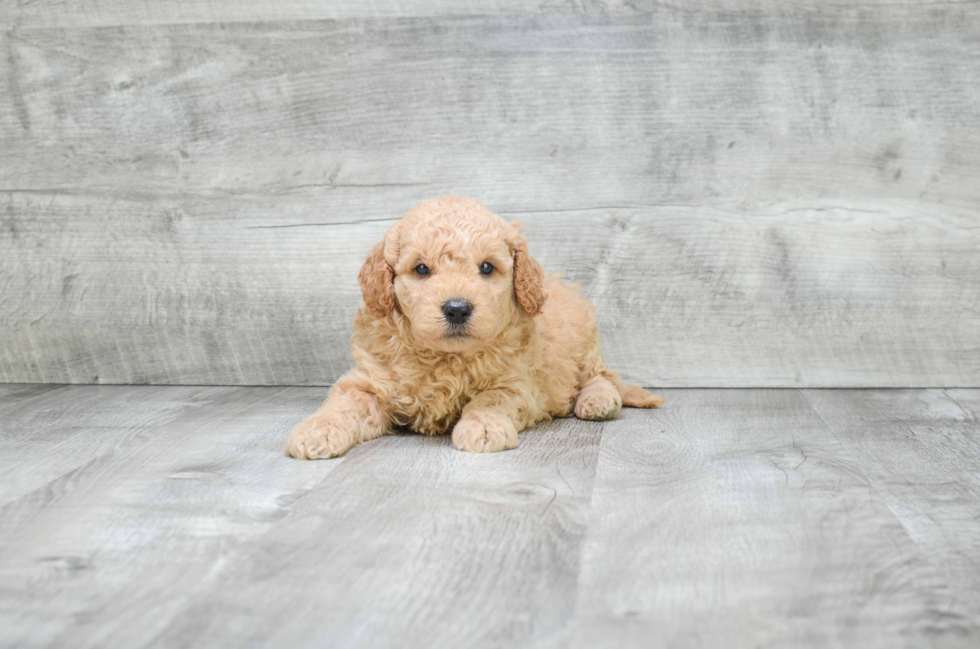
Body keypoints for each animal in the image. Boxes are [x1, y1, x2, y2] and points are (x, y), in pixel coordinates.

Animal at [288, 196, 664, 456]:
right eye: (421, 269)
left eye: (486, 267)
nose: (457, 309)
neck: (445, 357)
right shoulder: (369, 382)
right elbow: (345, 403)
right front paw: (316, 432)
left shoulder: (515, 384)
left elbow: (489, 401)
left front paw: (482, 429)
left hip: (583, 343)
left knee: (599, 377)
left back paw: (598, 401)